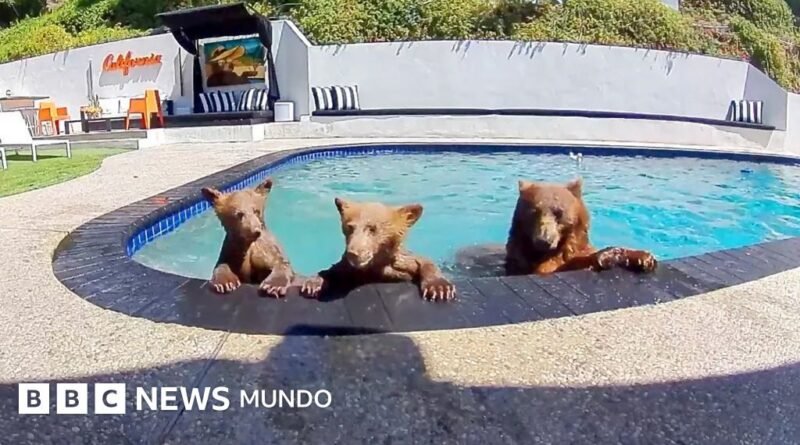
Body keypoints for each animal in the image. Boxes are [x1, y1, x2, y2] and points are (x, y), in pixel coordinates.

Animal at [300, 198, 456, 301]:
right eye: (350, 227)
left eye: (372, 228)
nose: (353, 253)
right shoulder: (351, 267)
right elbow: (334, 269)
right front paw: (313, 283)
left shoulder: (401, 262)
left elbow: (422, 261)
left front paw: (440, 288)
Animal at [505, 178, 657, 275]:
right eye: (533, 212)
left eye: (559, 212)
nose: (544, 240)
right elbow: (550, 268)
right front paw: (606, 256)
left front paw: (643, 258)